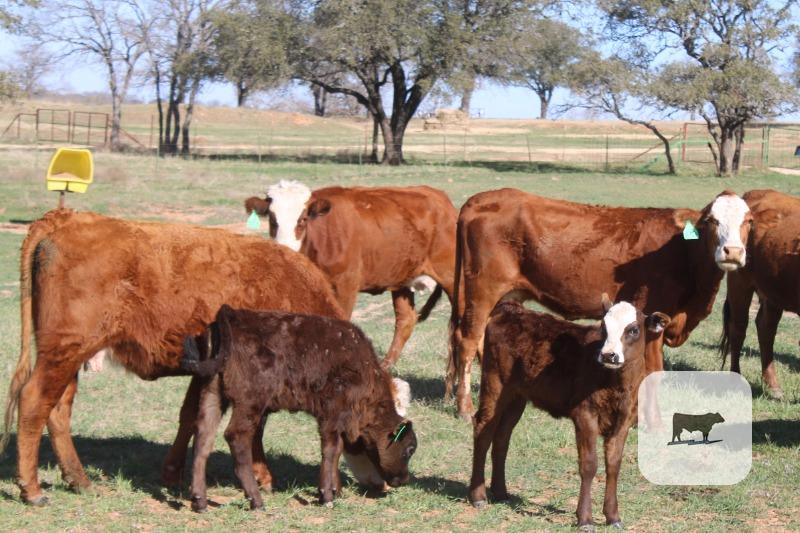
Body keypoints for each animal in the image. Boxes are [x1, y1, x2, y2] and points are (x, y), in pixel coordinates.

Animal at [1, 208, 345, 506]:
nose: (340, 489)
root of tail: (67, 217)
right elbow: (252, 426)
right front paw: (262, 476)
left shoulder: (205, 373)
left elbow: (191, 417)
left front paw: (172, 474)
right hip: (63, 353)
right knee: (34, 401)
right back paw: (32, 490)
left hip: (68, 357)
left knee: (58, 409)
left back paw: (80, 481)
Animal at [180, 305, 418, 512]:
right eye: (409, 449)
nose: (404, 479)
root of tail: (233, 315)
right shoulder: (332, 414)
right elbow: (331, 450)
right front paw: (327, 496)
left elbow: (336, 449)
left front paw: (335, 490)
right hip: (249, 403)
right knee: (236, 437)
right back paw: (256, 501)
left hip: (212, 394)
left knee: (203, 439)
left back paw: (200, 501)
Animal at [245, 181, 457, 367]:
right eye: (272, 219)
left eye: (303, 219)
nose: (285, 250)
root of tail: (440, 198)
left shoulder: (345, 284)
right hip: (402, 279)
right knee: (406, 320)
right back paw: (385, 366)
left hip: (451, 276)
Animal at [450, 189, 752, 419]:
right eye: (712, 220)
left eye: (749, 221)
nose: (733, 252)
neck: (683, 251)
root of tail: (480, 199)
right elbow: (654, 371)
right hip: (483, 291)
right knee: (467, 341)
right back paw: (464, 407)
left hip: (505, 295)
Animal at [469, 297, 670, 529]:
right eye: (604, 328)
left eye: (633, 329)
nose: (608, 354)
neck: (616, 384)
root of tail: (511, 308)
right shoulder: (585, 415)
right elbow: (589, 465)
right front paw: (585, 519)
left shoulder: (624, 420)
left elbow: (613, 464)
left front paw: (613, 517)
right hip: (495, 384)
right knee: (483, 429)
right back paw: (478, 496)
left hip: (516, 397)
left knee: (502, 437)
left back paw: (500, 492)